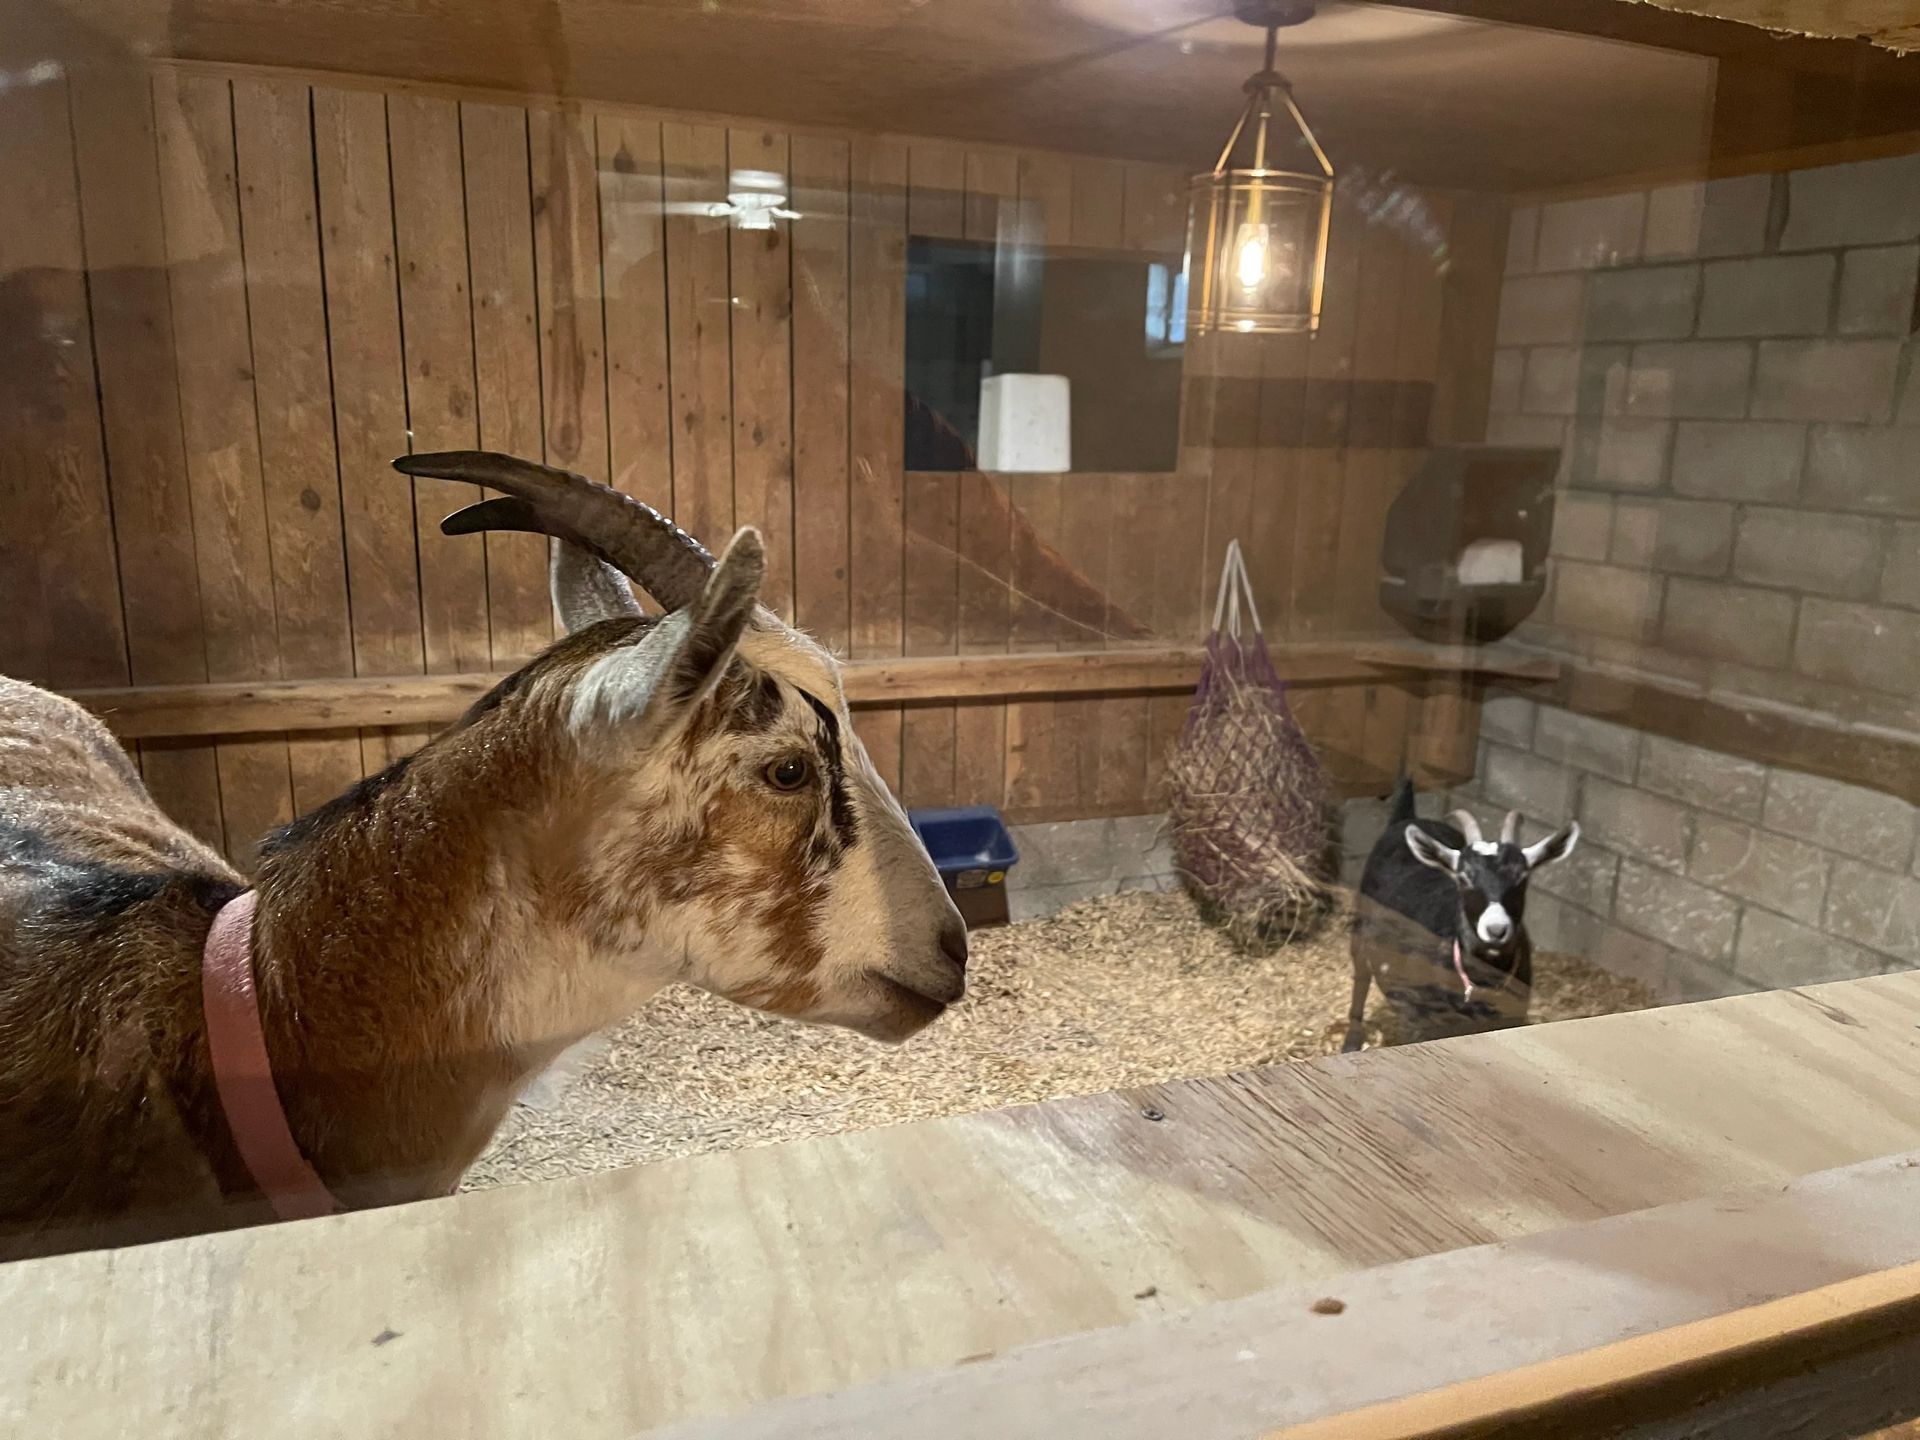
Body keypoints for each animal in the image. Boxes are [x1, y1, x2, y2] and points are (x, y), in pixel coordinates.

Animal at [1342, 777, 1577, 1052]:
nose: (1496, 928)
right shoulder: (1422, 1017)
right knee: (1361, 974)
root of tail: (1406, 819)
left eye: (1522, 876)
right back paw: (1352, 1040)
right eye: (1463, 876)